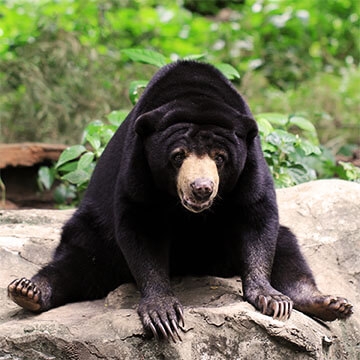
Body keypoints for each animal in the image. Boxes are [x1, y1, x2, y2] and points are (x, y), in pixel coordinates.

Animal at [7, 60, 352, 342]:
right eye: (177, 156)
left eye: (220, 157)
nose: (201, 189)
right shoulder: (138, 162)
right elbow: (141, 223)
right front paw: (163, 314)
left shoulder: (251, 162)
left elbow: (257, 213)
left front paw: (271, 299)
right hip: (96, 235)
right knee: (78, 262)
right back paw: (27, 291)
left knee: (286, 245)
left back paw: (329, 303)